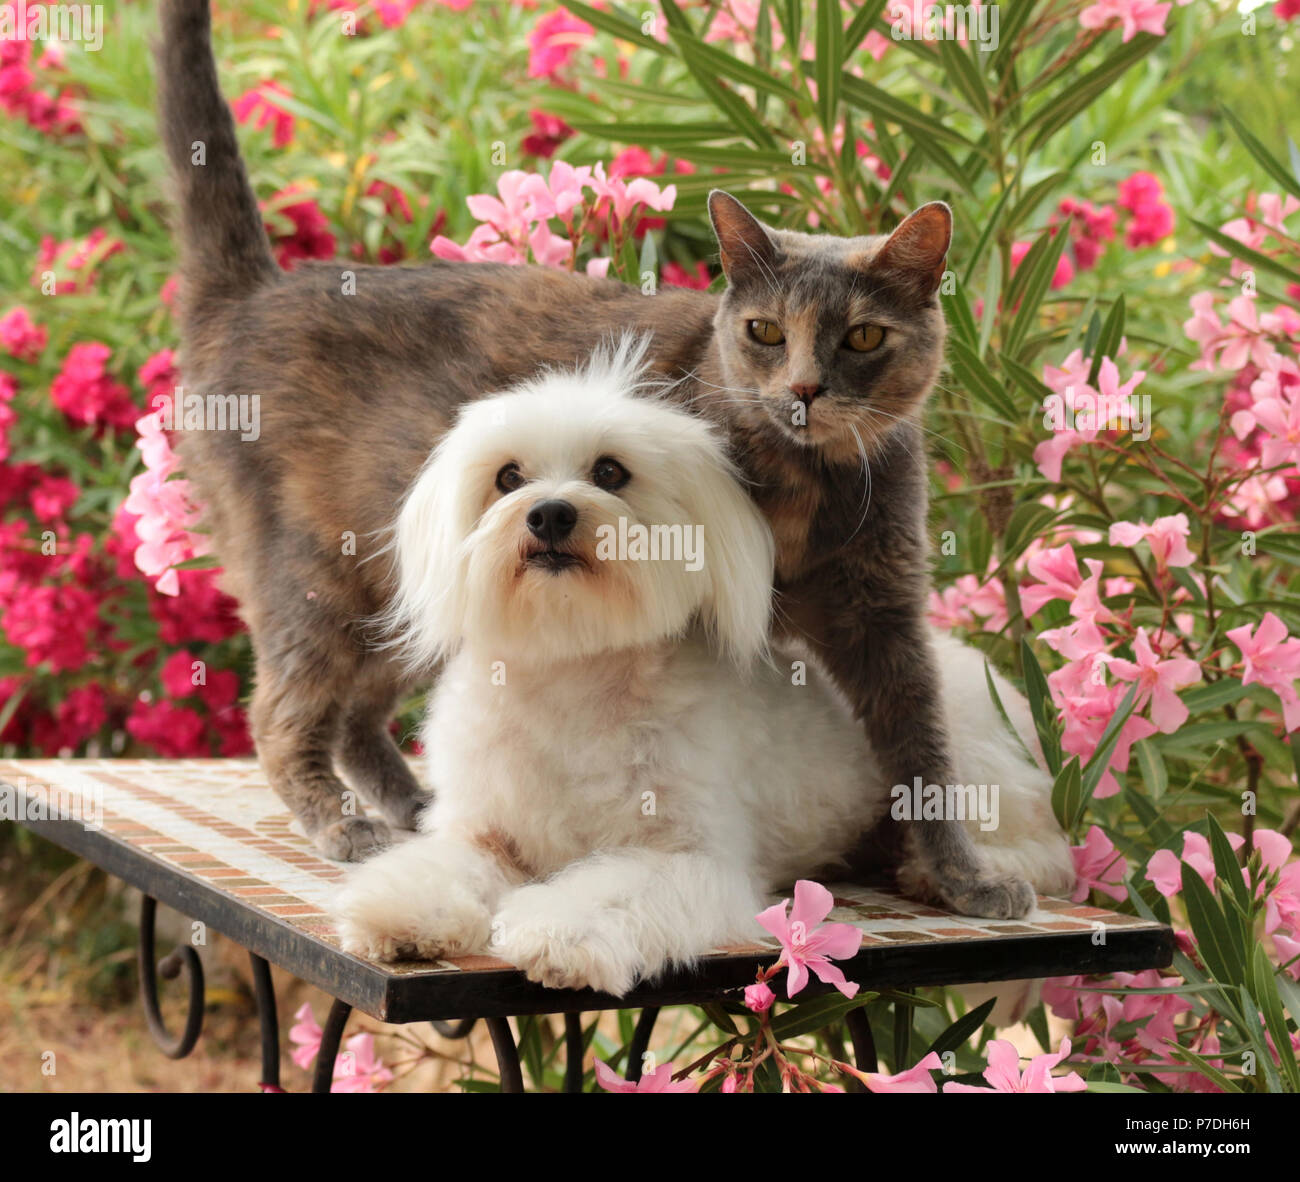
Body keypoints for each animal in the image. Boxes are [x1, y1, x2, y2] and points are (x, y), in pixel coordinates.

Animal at [338, 335, 1076, 993]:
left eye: (611, 472)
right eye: (508, 477)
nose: (549, 514)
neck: (575, 670)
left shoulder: (688, 858)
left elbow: (609, 892)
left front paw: (557, 935)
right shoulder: (485, 831)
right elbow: (444, 865)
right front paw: (400, 913)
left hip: (966, 762)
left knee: (1046, 849)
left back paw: (934, 871)